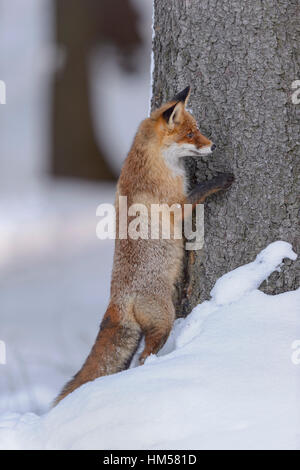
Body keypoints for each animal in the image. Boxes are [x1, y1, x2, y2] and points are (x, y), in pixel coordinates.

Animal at [55, 85, 234, 404]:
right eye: (191, 134)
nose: (212, 146)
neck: (152, 162)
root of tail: (116, 301)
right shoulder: (177, 207)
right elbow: (200, 191)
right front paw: (221, 179)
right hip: (164, 319)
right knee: (143, 357)